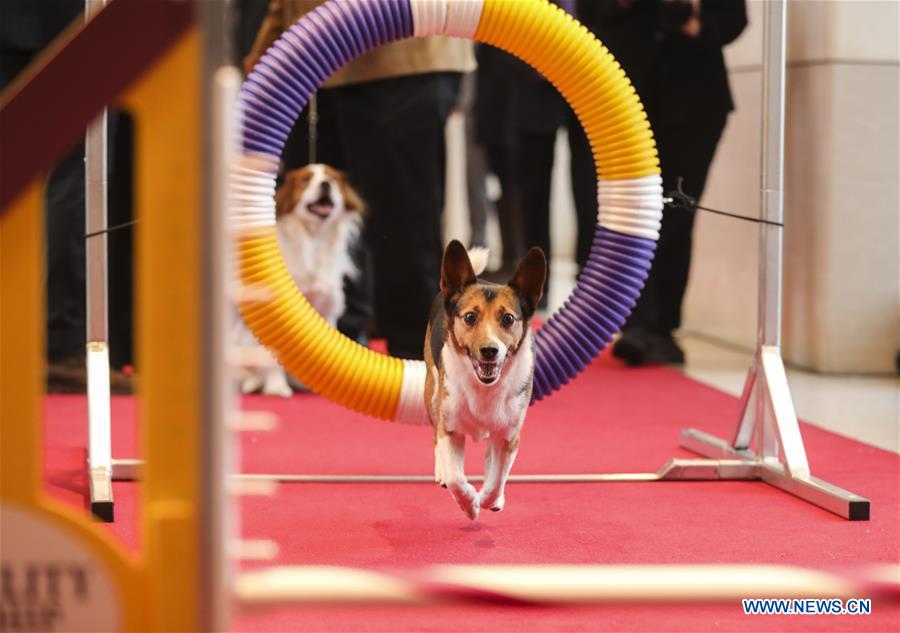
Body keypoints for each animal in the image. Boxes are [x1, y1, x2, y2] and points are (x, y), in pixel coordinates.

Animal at [241, 163, 368, 396]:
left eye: (332, 178)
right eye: (306, 179)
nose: (325, 184)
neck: (313, 240)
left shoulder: (326, 310)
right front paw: (277, 387)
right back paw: (252, 382)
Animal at [424, 238, 544, 520]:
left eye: (508, 319)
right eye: (470, 317)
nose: (490, 350)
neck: (485, 387)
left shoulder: (509, 436)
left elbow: (497, 477)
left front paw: (490, 499)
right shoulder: (451, 428)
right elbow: (457, 479)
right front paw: (469, 504)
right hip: (432, 393)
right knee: (435, 436)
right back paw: (441, 471)